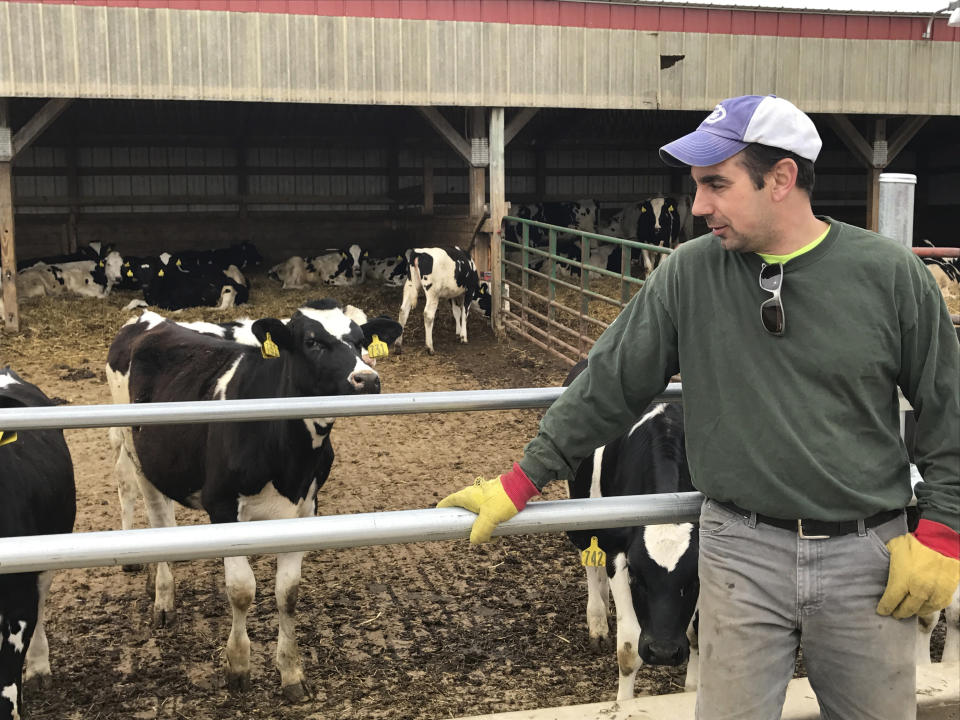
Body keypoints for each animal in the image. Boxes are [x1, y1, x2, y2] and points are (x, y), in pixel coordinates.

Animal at [106, 300, 402, 700]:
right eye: (312, 341)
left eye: (359, 341)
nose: (367, 379)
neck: (289, 456)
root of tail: (150, 318)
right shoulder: (222, 506)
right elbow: (242, 589)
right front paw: (238, 665)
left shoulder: (306, 509)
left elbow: (288, 593)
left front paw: (291, 672)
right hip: (135, 450)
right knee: (151, 508)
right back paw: (163, 599)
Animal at [564, 358, 696, 696]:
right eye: (637, 575)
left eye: (694, 580)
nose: (663, 652)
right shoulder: (619, 554)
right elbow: (628, 651)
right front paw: (624, 702)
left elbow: (696, 638)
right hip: (583, 515)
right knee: (590, 561)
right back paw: (597, 621)